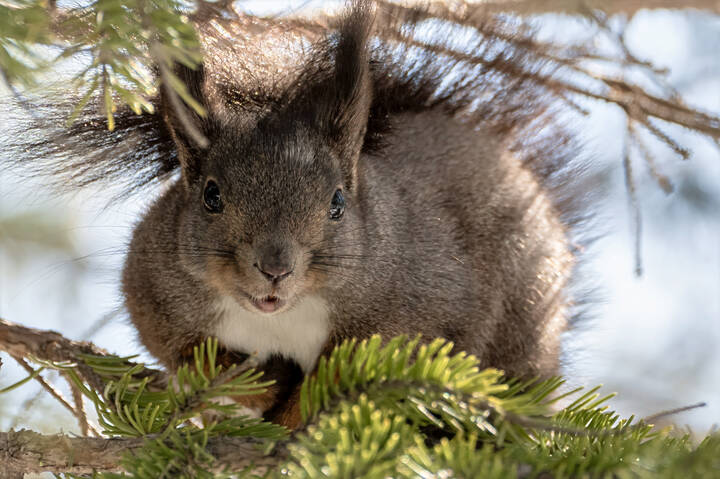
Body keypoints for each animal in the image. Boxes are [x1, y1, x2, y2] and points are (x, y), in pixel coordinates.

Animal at [7, 2, 582, 427]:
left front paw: (291, 412)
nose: (275, 269)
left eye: (337, 202)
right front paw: (260, 385)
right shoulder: (152, 288)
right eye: (210, 196)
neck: (282, 317)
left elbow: (349, 378)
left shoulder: (434, 306)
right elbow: (187, 352)